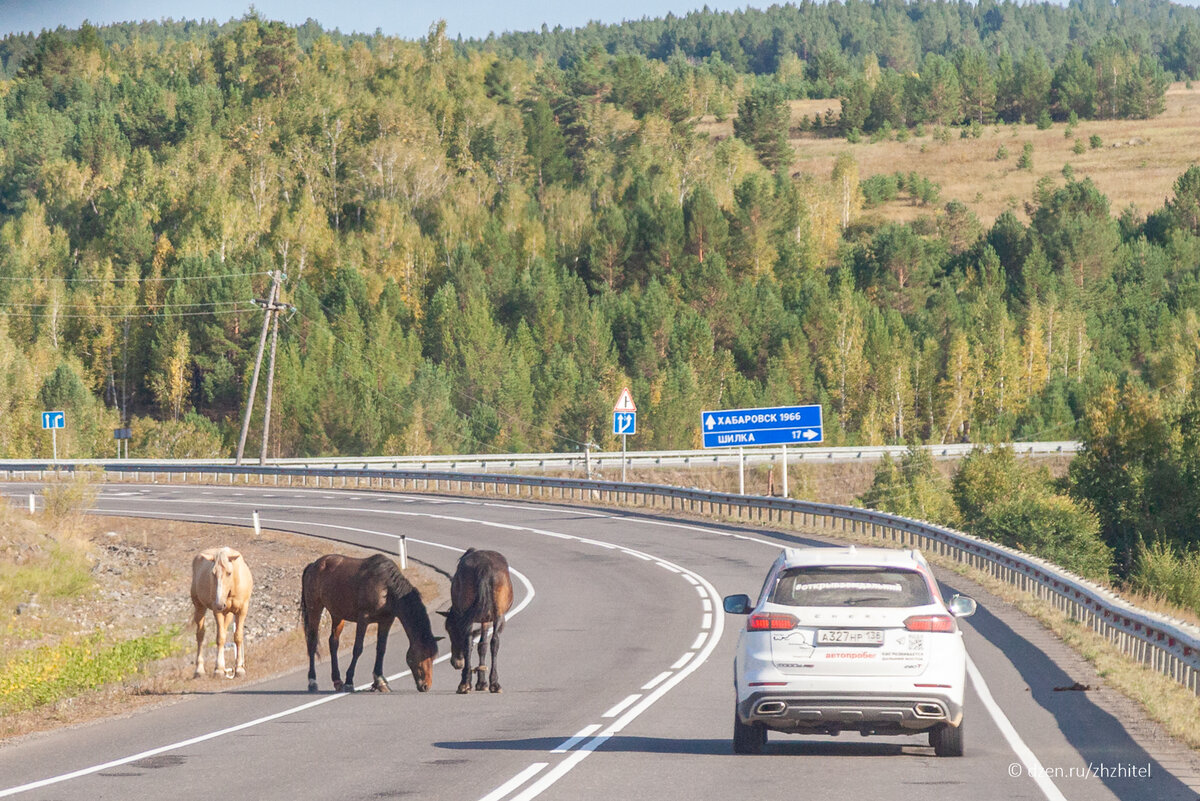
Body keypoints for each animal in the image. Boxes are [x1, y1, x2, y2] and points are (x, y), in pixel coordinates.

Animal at [189, 546, 253, 681]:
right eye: (213, 573)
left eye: (229, 572)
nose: (219, 604)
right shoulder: (217, 611)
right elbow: (220, 638)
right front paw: (218, 669)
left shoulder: (242, 610)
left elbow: (238, 636)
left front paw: (239, 669)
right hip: (199, 607)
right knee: (200, 635)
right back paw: (199, 670)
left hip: (227, 613)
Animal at [300, 553, 441, 690]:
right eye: (422, 655)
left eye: (433, 656)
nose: (426, 686)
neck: (386, 589)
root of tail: (313, 565)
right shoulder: (363, 620)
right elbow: (358, 649)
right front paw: (349, 681)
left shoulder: (386, 621)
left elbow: (381, 648)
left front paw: (380, 681)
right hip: (315, 608)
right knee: (312, 642)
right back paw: (312, 681)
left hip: (337, 614)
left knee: (333, 642)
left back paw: (337, 681)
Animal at [444, 546, 513, 690]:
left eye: (449, 629)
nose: (456, 662)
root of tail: (484, 567)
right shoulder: (486, 619)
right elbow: (483, 645)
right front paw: (482, 682)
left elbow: (480, 645)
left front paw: (480, 682)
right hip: (498, 616)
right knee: (494, 641)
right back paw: (494, 683)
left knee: (470, 642)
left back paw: (465, 682)